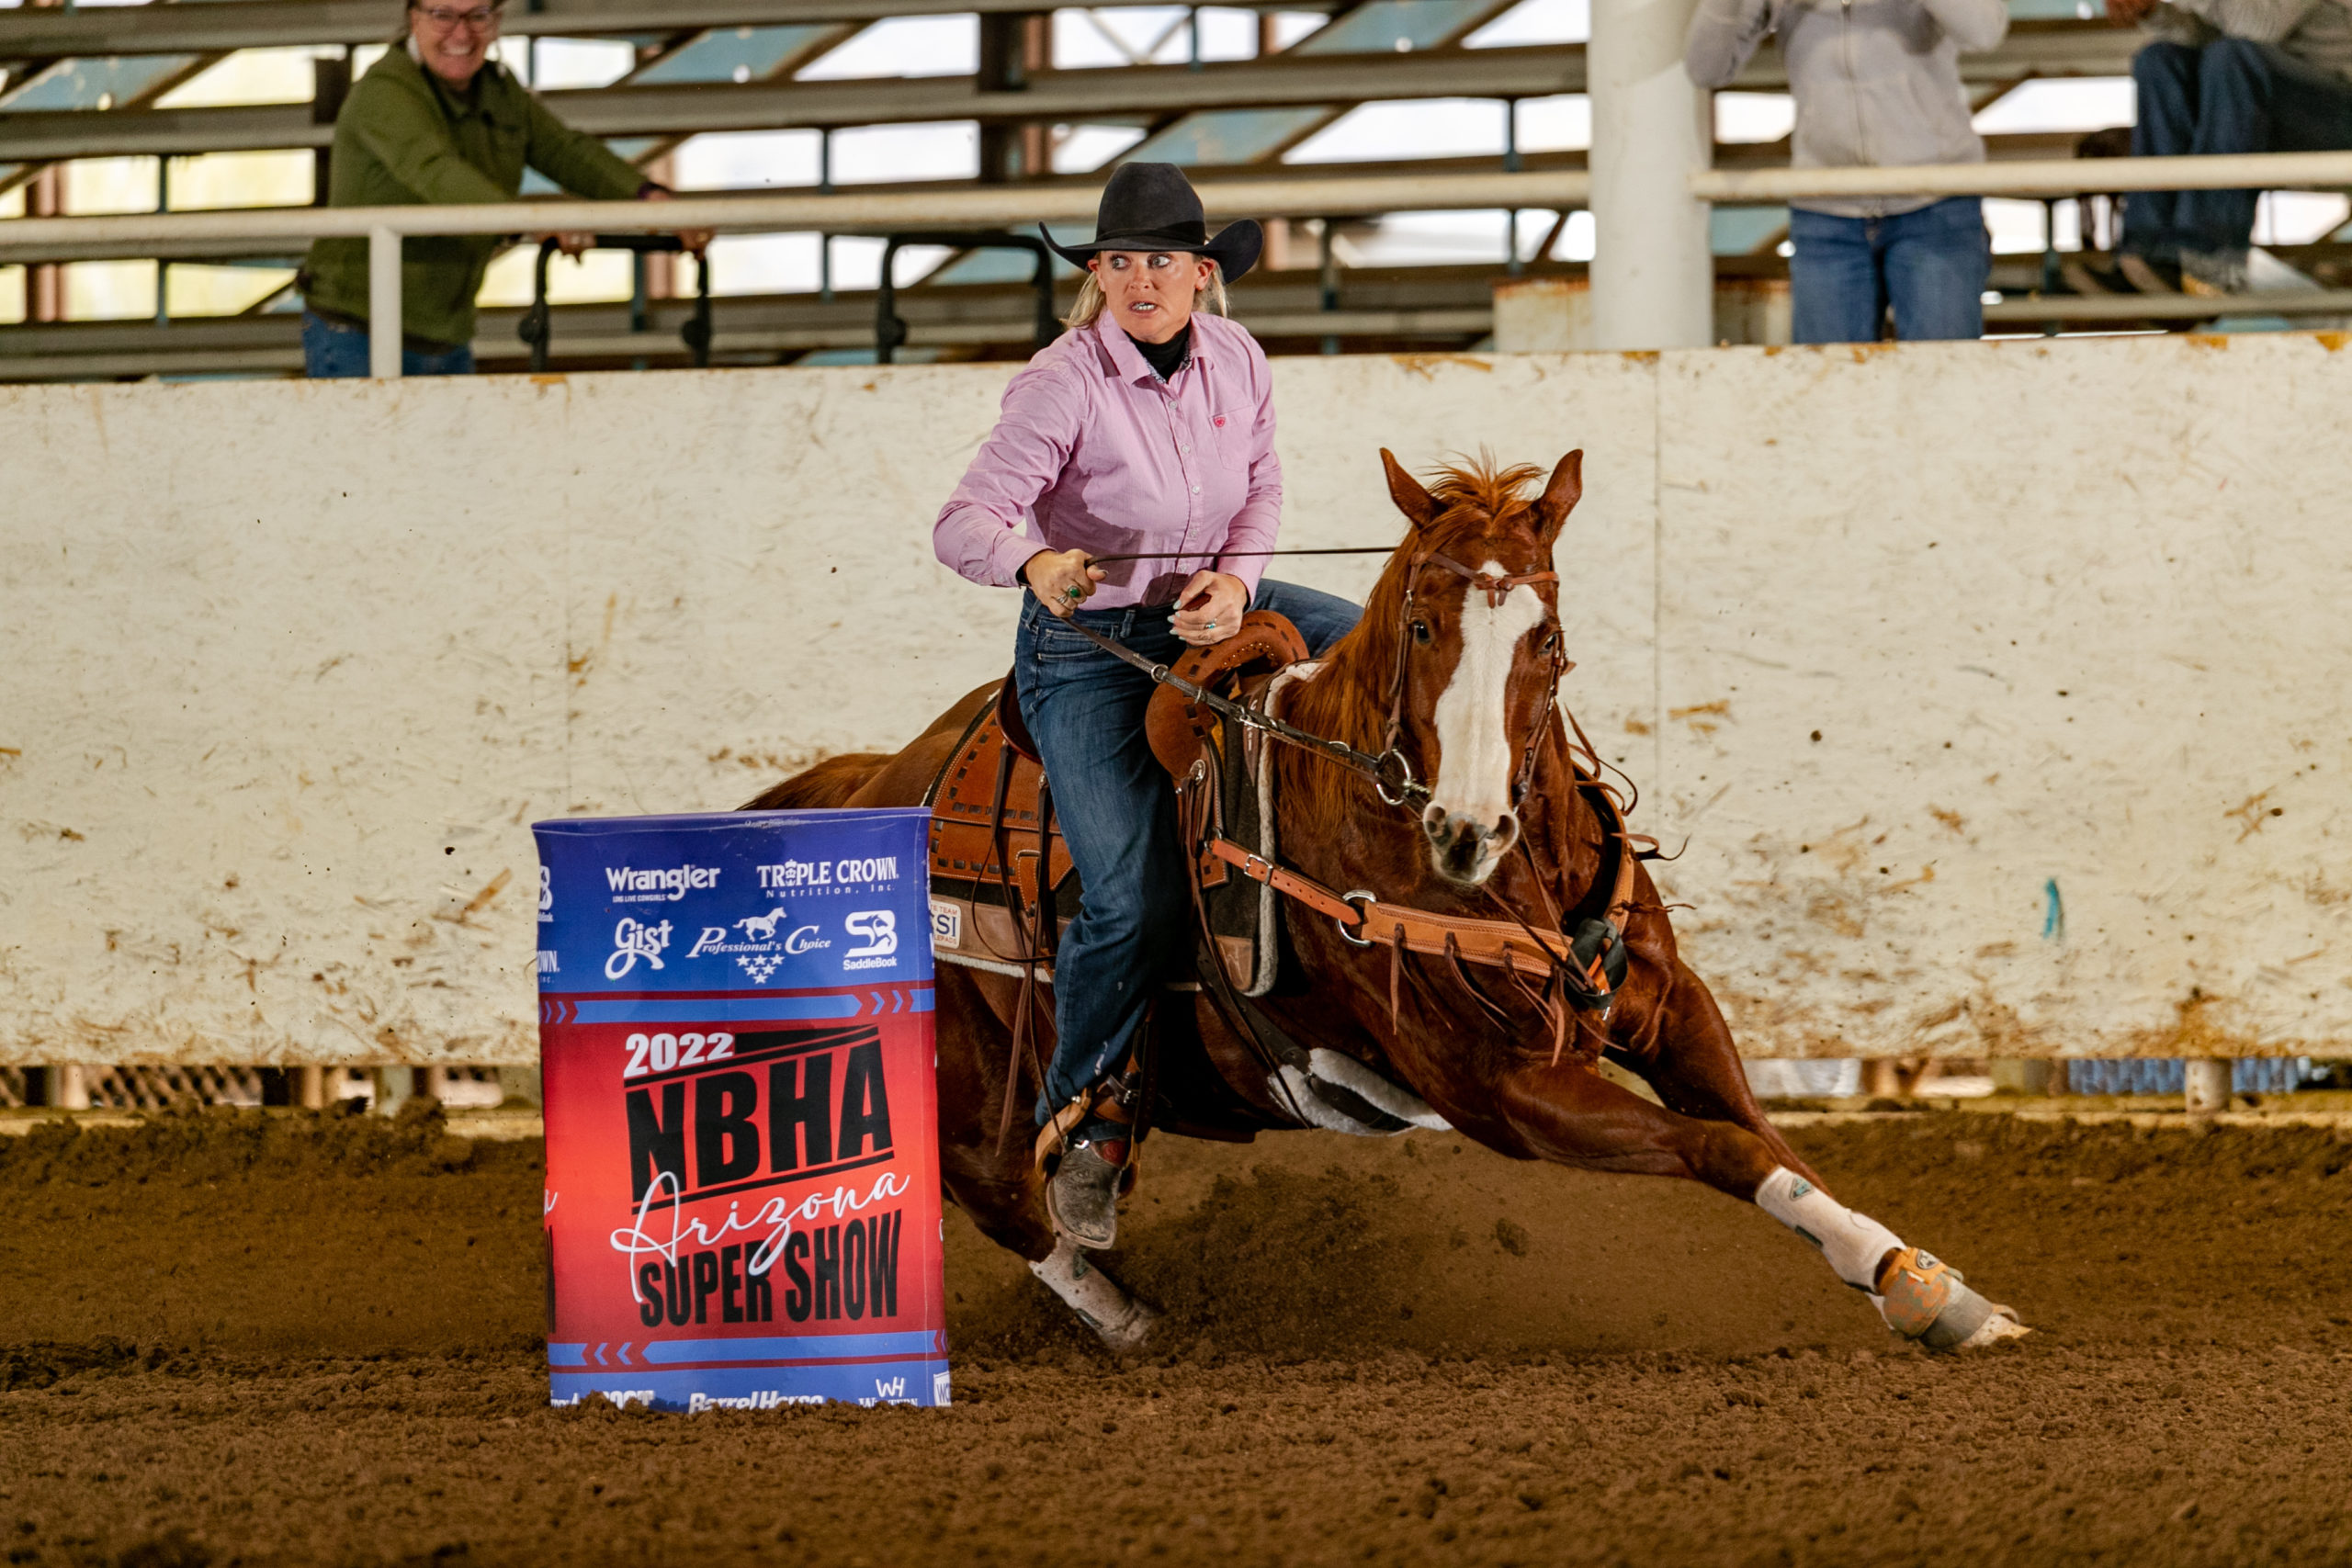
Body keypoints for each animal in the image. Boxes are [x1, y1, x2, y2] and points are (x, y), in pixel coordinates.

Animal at [748, 446, 2022, 1354]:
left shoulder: (1669, 1009)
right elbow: (1717, 1147)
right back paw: (1124, 1313)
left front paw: (1924, 1282)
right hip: (966, 1073)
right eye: (1420, 622)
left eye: (1547, 637)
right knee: (990, 1190)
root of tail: (877, 780)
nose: (1466, 831)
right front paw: (1925, 1297)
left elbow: (1764, 1138)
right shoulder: (1505, 1092)